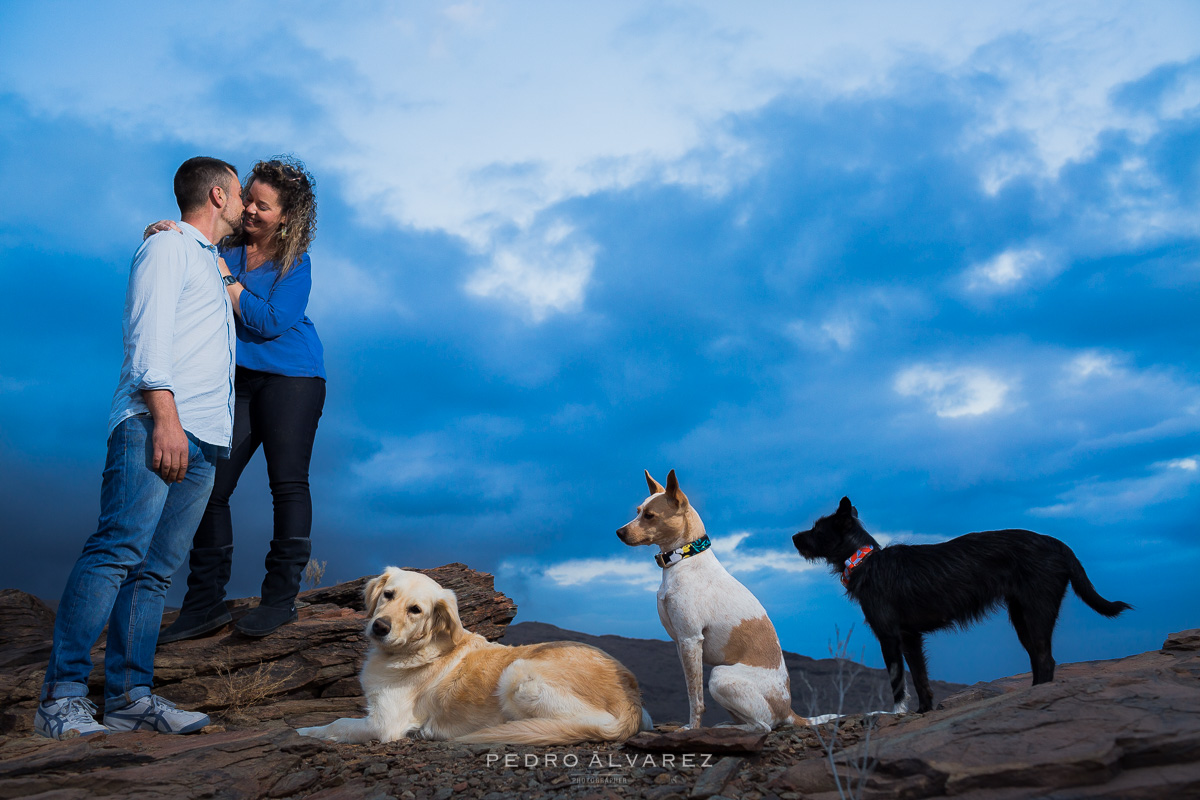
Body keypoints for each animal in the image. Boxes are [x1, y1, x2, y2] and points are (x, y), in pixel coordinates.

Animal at [296, 568, 648, 743]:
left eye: (415, 610)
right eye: (388, 594)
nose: (380, 627)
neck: (415, 650)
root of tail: (631, 696)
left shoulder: (385, 723)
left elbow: (338, 723)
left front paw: (301, 732)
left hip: (518, 674)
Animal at [624, 470, 811, 734]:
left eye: (650, 515)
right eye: (638, 510)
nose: (619, 532)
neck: (684, 559)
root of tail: (789, 711)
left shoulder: (691, 639)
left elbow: (695, 698)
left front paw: (692, 729)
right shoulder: (681, 643)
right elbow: (691, 689)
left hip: (719, 676)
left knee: (762, 726)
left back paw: (726, 729)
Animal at [792, 501, 1128, 714]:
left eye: (818, 530)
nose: (793, 537)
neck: (863, 559)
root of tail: (1058, 544)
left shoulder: (888, 636)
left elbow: (897, 680)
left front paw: (896, 714)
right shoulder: (910, 637)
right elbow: (920, 678)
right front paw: (923, 710)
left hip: (1036, 611)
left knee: (1045, 660)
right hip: (1021, 616)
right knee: (1038, 658)